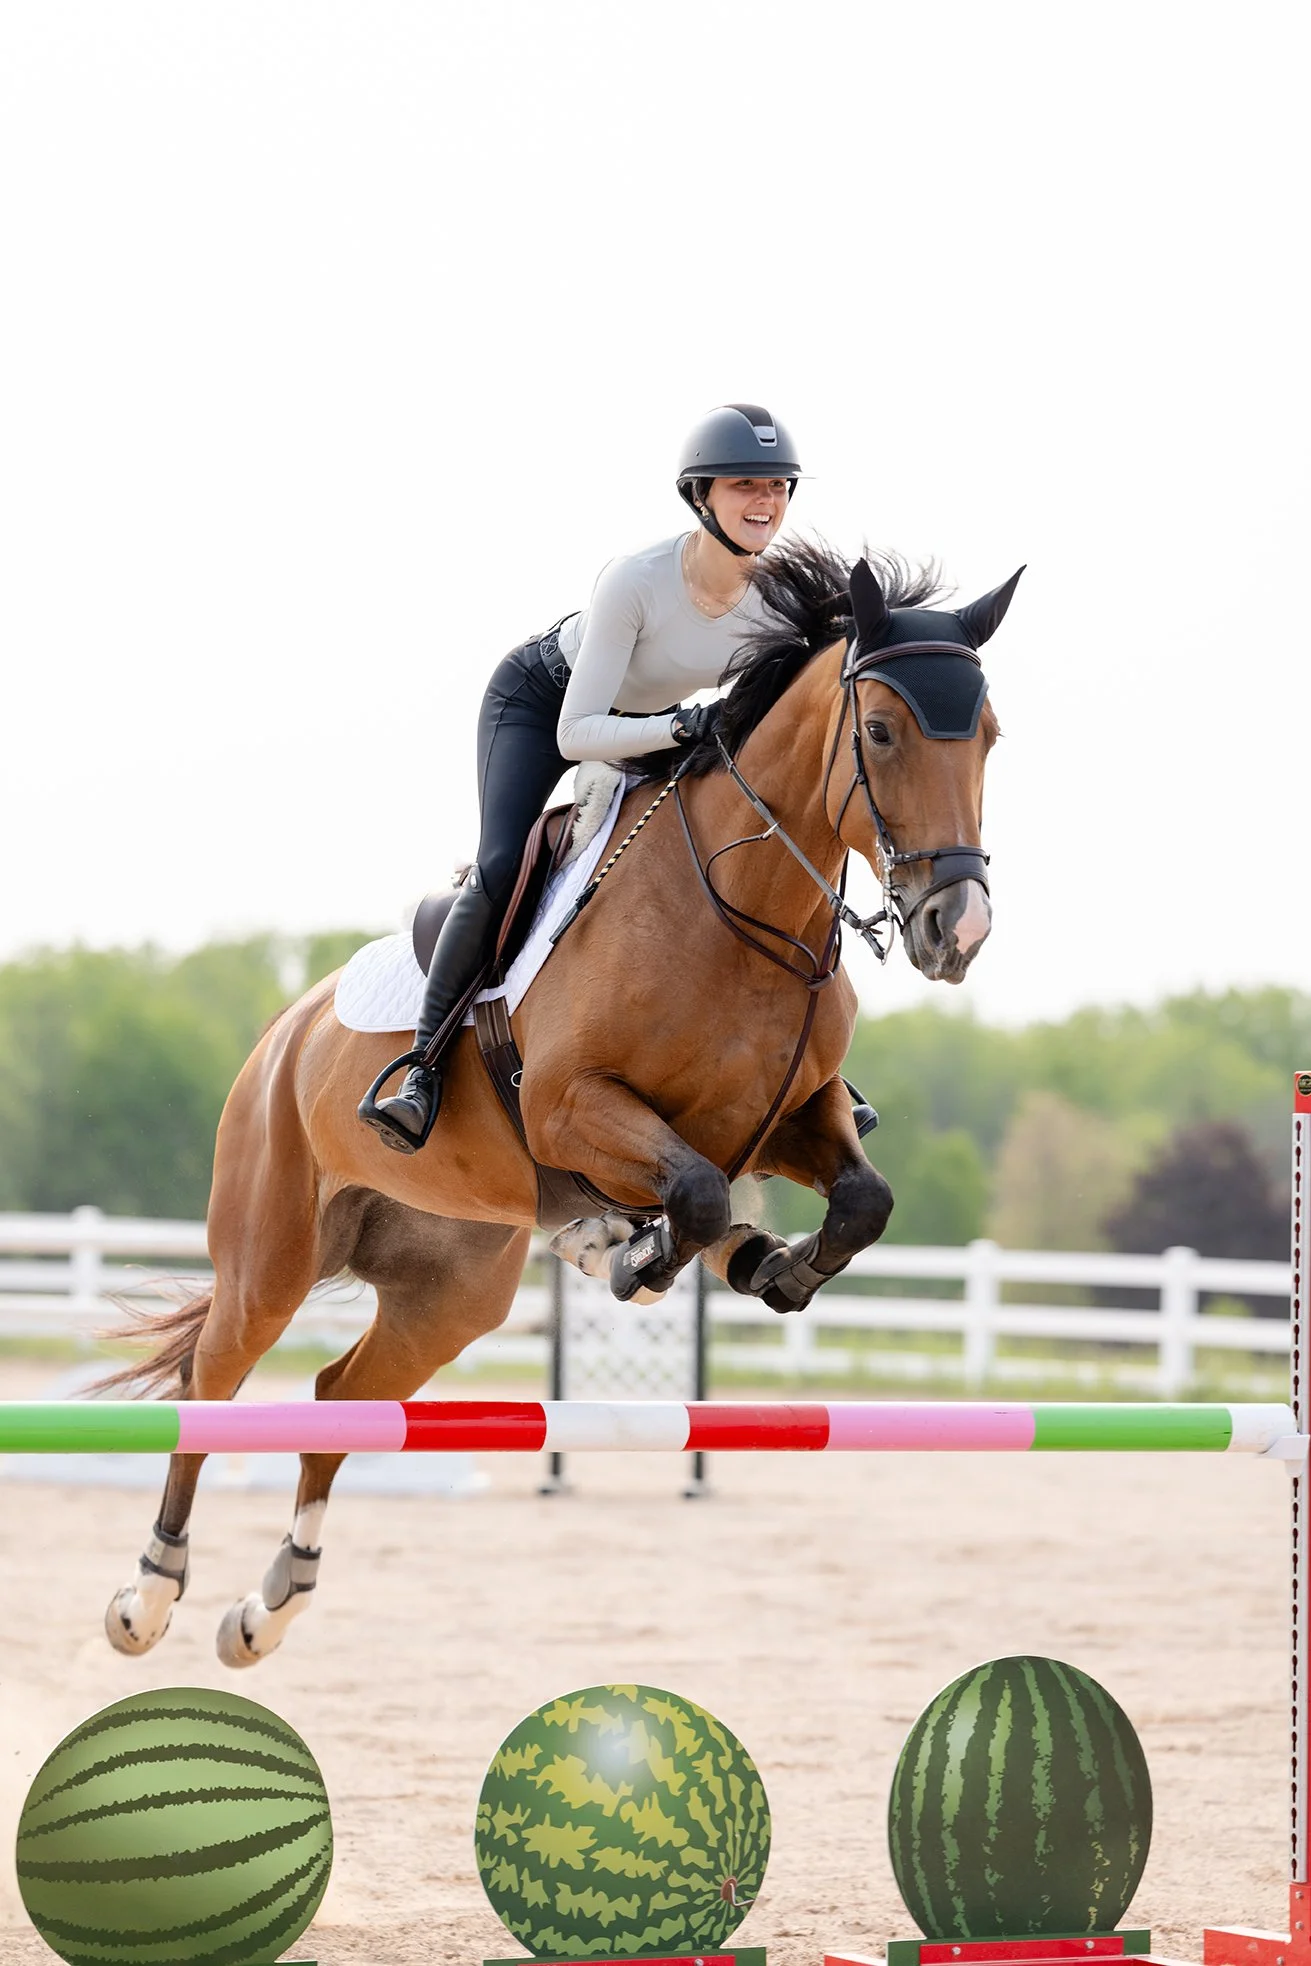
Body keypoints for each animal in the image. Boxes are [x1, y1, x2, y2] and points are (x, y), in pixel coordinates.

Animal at [100, 539, 1021, 1667]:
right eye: (883, 732)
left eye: (988, 737)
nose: (956, 928)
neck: (741, 911)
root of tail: (286, 1031)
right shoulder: (572, 1109)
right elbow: (697, 1194)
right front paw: (632, 1255)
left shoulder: (792, 1116)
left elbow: (858, 1202)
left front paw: (769, 1267)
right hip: (268, 1255)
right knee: (212, 1386)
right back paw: (150, 1594)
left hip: (448, 1293)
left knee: (340, 1397)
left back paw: (270, 1606)